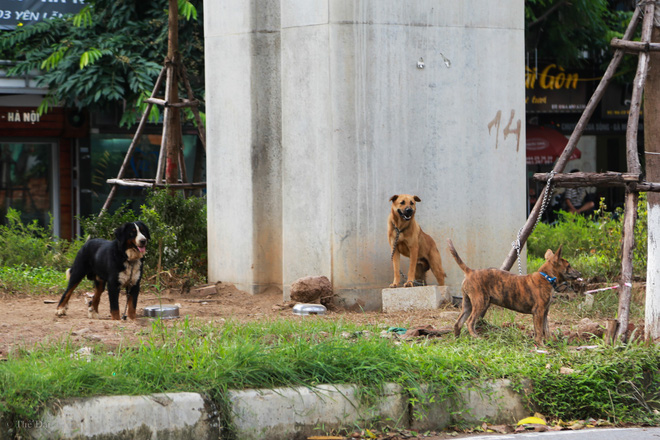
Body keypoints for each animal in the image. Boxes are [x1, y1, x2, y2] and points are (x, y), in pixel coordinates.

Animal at [446, 239, 580, 346]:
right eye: (569, 266)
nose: (579, 273)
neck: (547, 277)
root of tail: (470, 271)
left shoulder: (545, 312)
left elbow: (546, 329)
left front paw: (550, 343)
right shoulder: (539, 312)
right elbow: (538, 331)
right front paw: (541, 345)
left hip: (467, 304)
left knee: (458, 323)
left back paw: (457, 340)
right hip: (480, 302)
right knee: (469, 322)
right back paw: (476, 337)